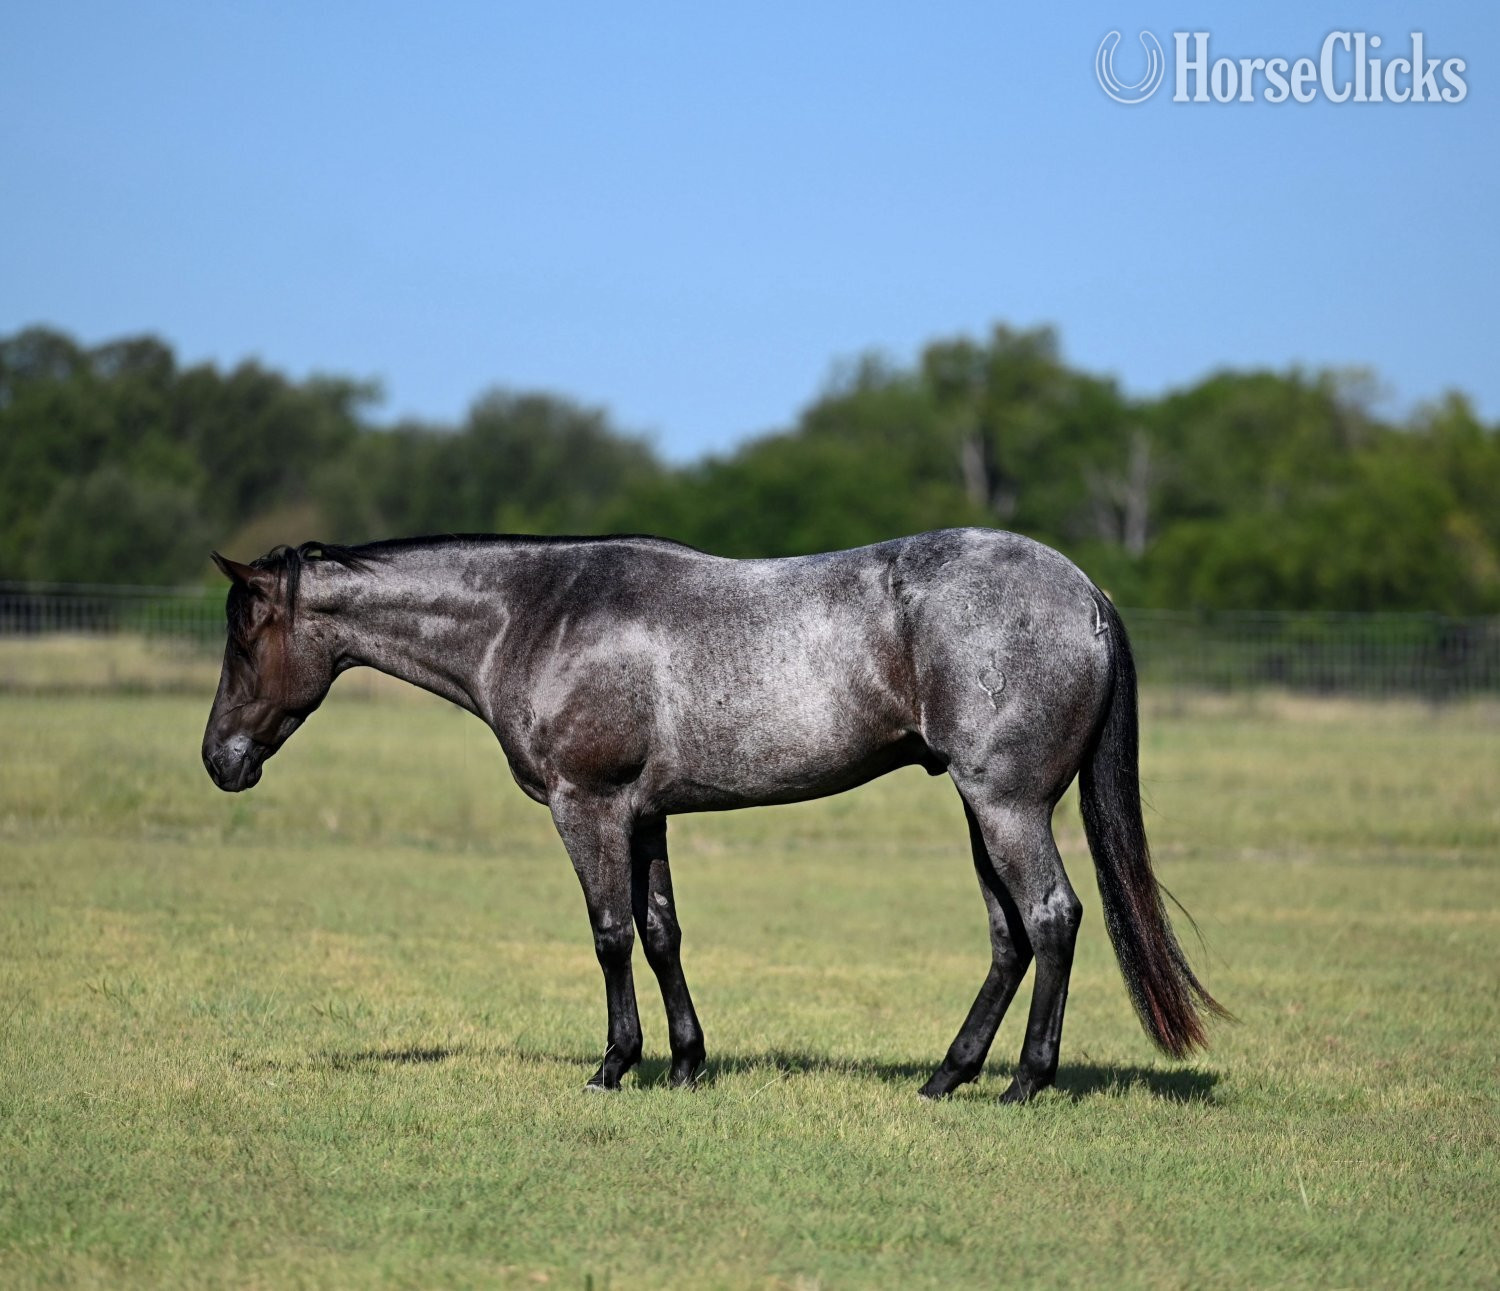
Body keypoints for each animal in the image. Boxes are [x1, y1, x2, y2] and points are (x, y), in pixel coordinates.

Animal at [202, 528, 1225, 1100]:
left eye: (245, 636)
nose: (220, 759)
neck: (537, 613)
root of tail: (1085, 594)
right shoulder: (645, 814)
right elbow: (661, 932)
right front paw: (689, 1064)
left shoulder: (588, 806)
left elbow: (610, 933)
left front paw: (615, 1065)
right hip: (983, 810)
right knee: (1011, 936)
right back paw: (947, 1077)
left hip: (1006, 804)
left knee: (1050, 918)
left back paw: (1023, 1081)